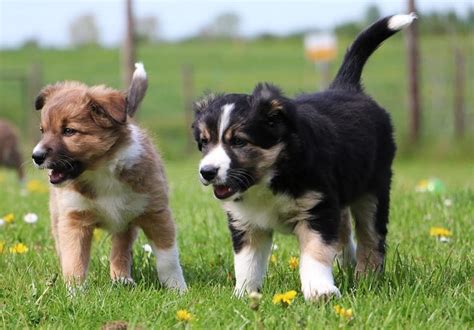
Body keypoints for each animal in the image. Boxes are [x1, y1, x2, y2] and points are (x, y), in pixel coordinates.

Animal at [31, 63, 186, 290]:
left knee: (120, 249)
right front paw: (75, 292)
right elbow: (74, 259)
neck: (102, 172)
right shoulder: (74, 218)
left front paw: (177, 289)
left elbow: (168, 258)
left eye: (69, 131)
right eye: (42, 130)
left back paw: (122, 278)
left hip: (126, 222)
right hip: (58, 215)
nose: (36, 156)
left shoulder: (156, 212)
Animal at [191, 14, 416, 300]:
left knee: (371, 237)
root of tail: (346, 87)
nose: (207, 172)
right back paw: (347, 263)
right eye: (204, 142)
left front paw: (320, 292)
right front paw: (244, 295)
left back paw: (366, 278)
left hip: (374, 188)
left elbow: (315, 254)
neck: (271, 178)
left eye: (239, 141)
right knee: (344, 232)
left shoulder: (317, 210)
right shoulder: (246, 223)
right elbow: (247, 262)